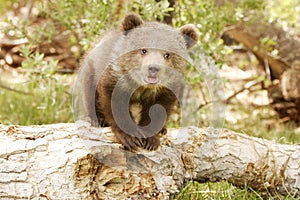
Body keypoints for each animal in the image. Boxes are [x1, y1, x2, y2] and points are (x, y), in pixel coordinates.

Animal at [74, 13, 198, 151]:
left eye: (167, 54)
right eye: (143, 50)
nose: (153, 68)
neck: (141, 86)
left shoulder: (166, 89)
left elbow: (159, 109)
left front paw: (150, 139)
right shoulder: (115, 79)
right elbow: (115, 105)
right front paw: (131, 138)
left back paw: (163, 129)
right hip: (91, 70)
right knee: (90, 93)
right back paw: (97, 119)